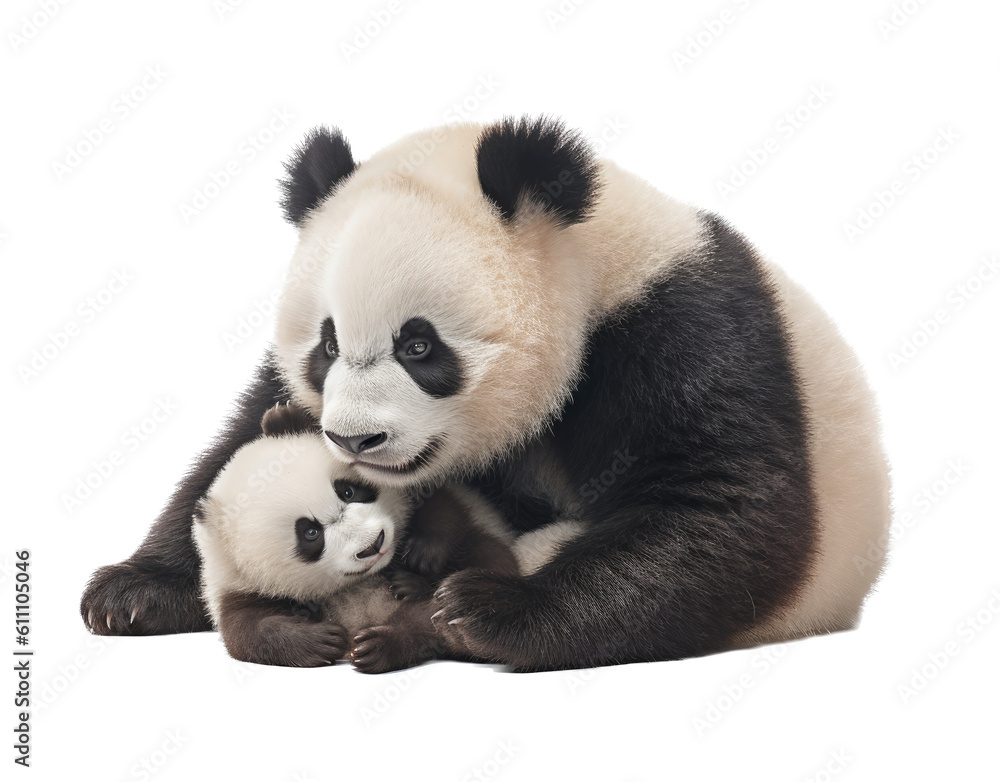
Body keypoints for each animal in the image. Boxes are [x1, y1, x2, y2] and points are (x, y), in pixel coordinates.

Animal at [193, 402, 520, 671]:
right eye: (311, 533)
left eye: (348, 491)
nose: (374, 545)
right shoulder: (238, 587)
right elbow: (248, 632)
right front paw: (320, 640)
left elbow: (440, 503)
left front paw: (423, 554)